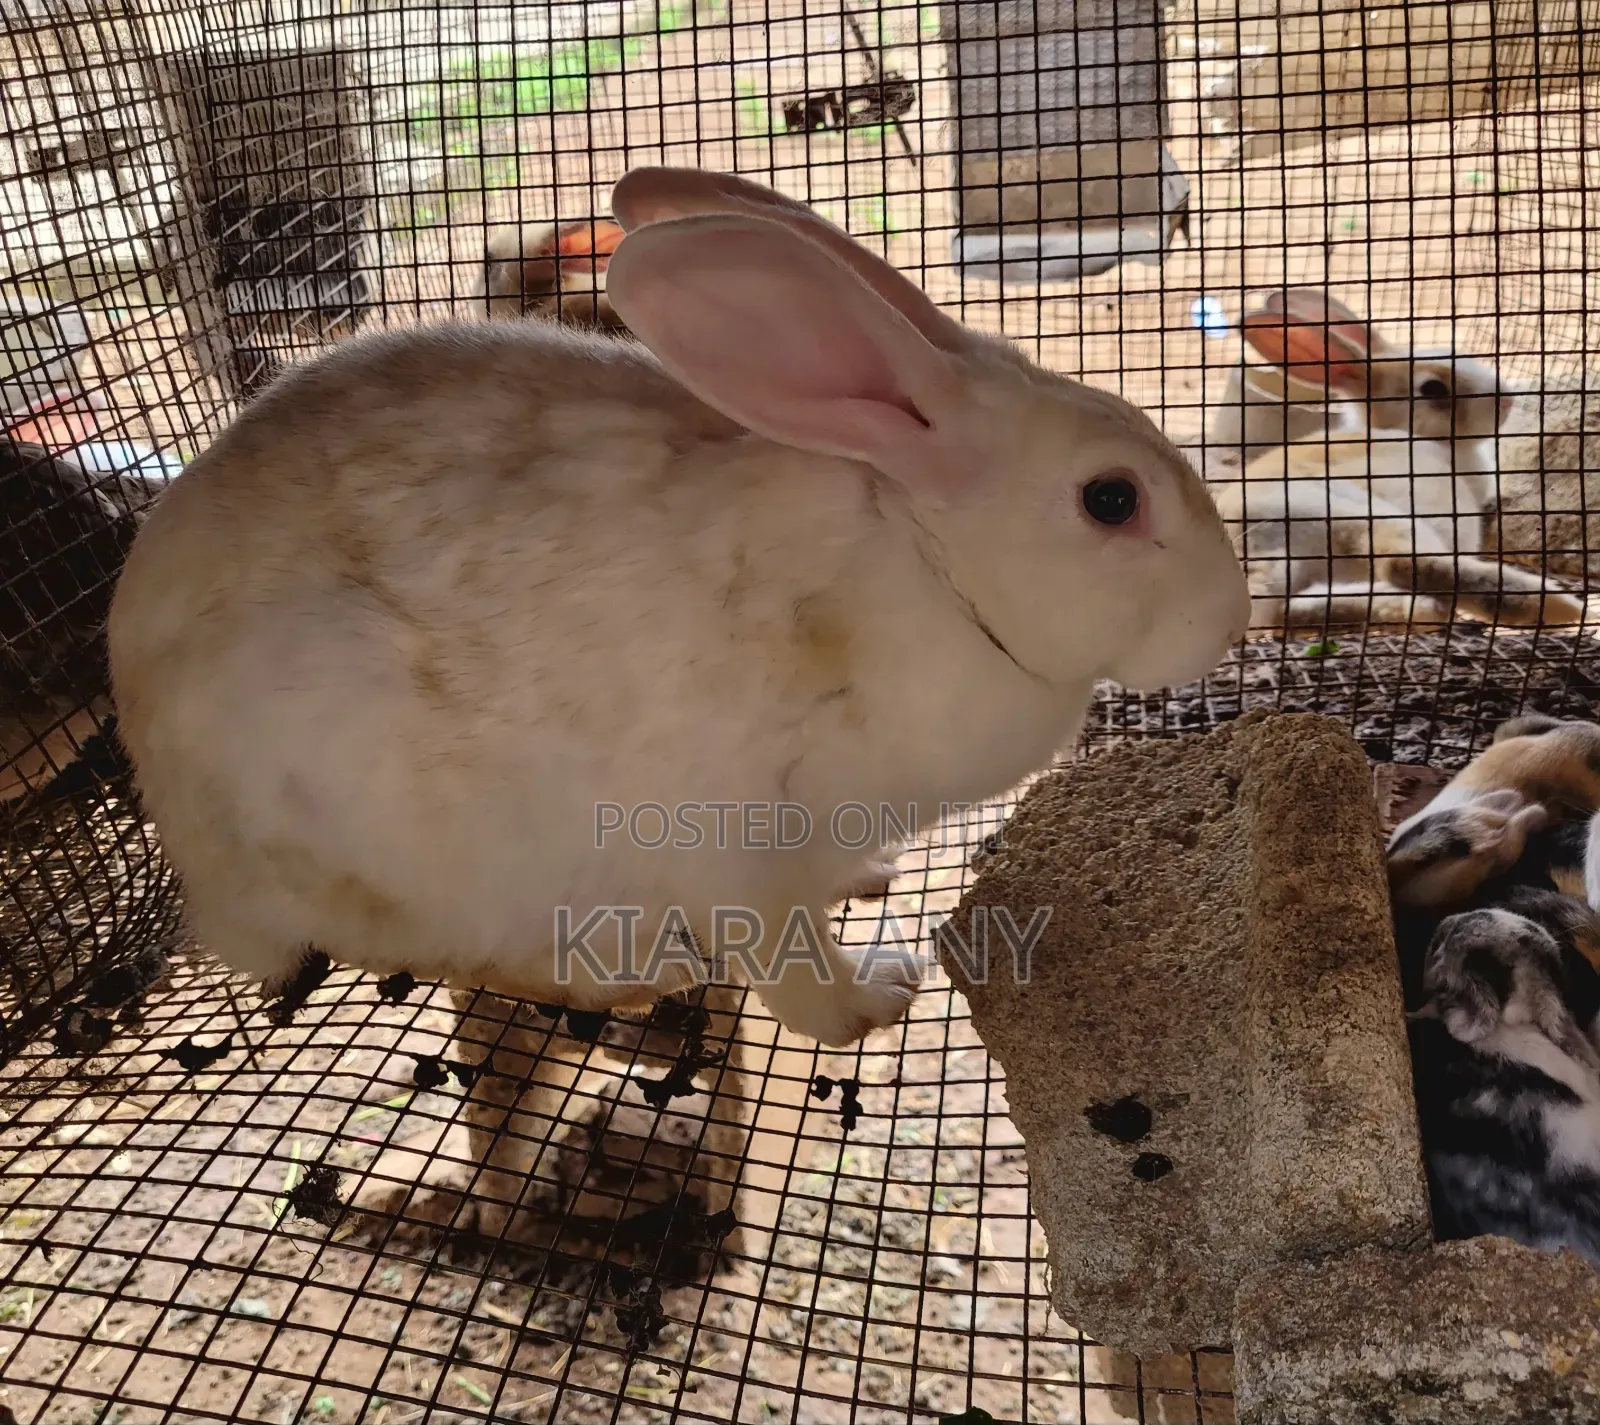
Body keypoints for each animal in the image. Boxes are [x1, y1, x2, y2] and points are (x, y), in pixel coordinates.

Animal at [1207, 291, 1585, 631]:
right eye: (1432, 389)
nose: (1507, 400)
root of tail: (1251, 553)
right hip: (1363, 515)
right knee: (1408, 565)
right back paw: (1558, 607)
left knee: (1301, 610)